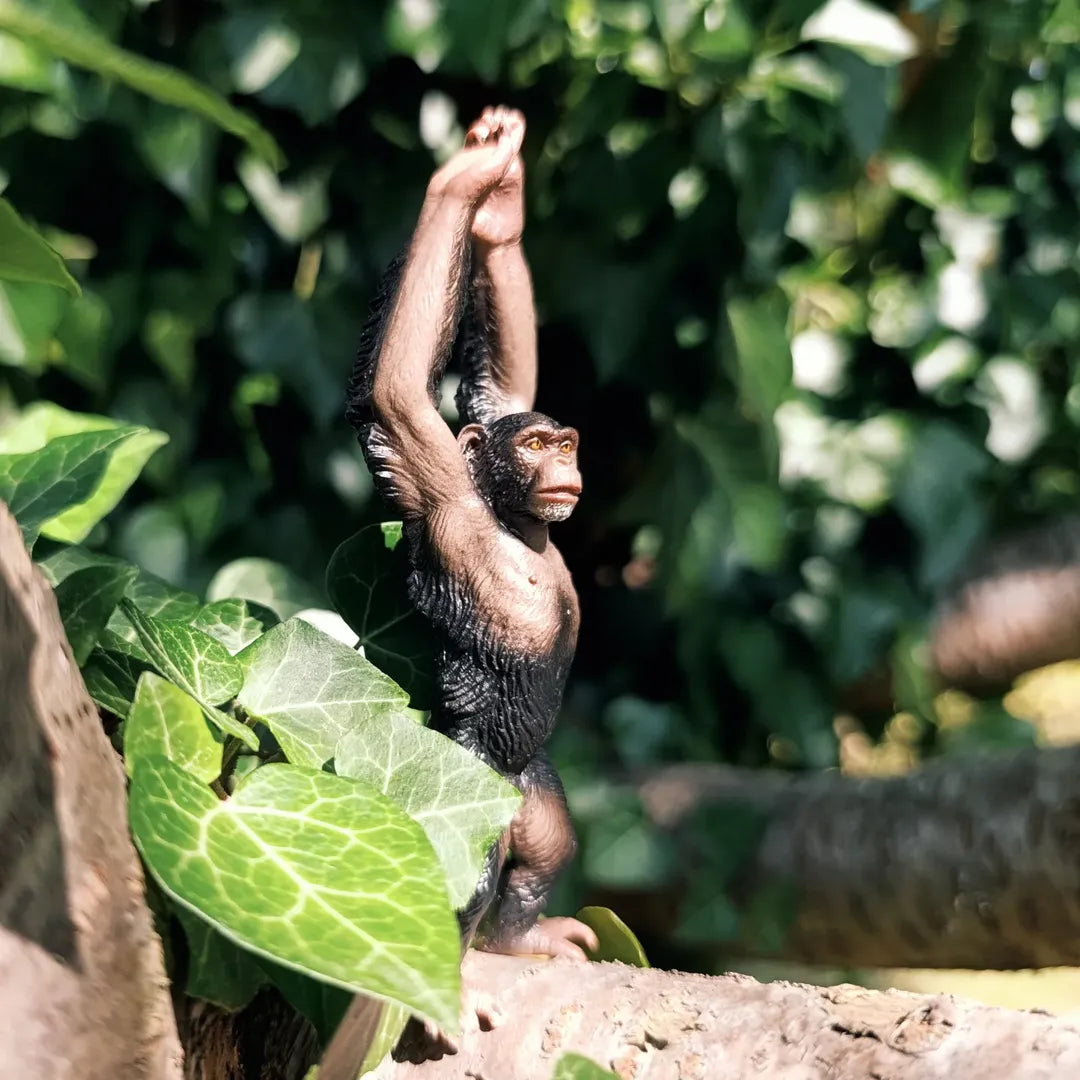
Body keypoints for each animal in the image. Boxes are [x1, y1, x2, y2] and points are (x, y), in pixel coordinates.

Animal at [344, 107, 598, 965]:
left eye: (564, 442)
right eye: (535, 447)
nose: (562, 462)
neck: (518, 527)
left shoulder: (497, 411)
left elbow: (500, 384)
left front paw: (498, 211)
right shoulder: (441, 489)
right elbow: (396, 396)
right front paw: (464, 179)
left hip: (532, 789)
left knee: (546, 849)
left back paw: (519, 938)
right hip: (458, 786)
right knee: (467, 867)